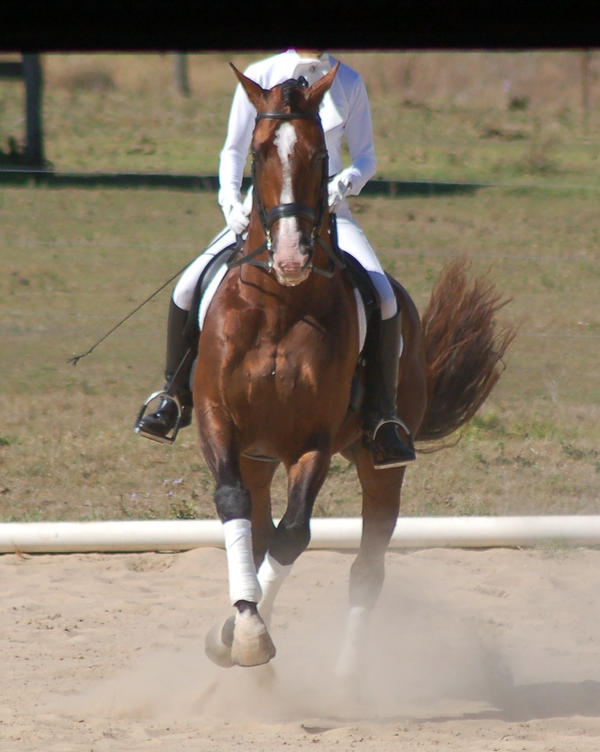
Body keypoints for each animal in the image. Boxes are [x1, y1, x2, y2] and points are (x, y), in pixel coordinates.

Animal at [195, 64, 512, 672]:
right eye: (259, 151)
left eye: (322, 155)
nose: (291, 256)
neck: (280, 303)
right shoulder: (218, 418)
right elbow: (234, 506)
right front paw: (242, 623)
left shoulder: (314, 439)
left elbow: (296, 534)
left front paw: (244, 634)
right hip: (257, 455)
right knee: (259, 525)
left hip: (377, 463)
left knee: (366, 568)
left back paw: (346, 678)